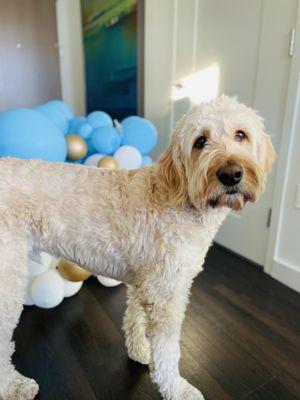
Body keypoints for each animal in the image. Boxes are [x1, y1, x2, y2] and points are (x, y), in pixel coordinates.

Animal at [0, 97, 274, 400]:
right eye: (200, 142)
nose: (231, 174)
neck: (179, 196)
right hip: (7, 280)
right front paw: (175, 388)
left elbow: (134, 317)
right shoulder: (165, 292)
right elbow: (167, 350)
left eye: (241, 135)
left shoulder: (143, 281)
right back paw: (15, 386)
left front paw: (139, 350)